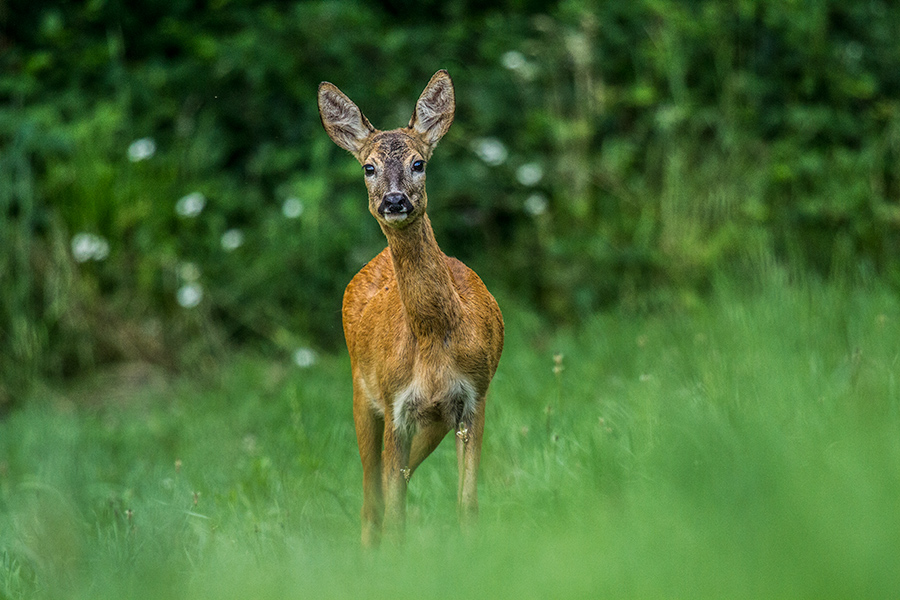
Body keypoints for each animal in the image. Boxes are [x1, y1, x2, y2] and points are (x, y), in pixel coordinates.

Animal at [316, 71, 502, 548]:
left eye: (419, 163)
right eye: (369, 167)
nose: (395, 201)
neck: (432, 339)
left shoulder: (474, 396)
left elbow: (468, 505)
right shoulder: (395, 402)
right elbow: (395, 510)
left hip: (432, 421)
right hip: (361, 392)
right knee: (372, 497)